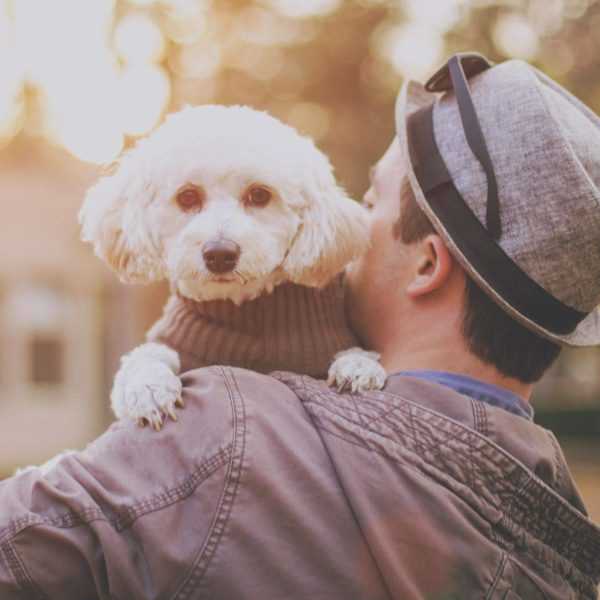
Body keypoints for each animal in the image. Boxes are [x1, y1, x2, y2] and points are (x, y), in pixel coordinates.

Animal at [78, 105, 384, 428]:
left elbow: (354, 354)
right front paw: (148, 388)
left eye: (260, 194)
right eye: (187, 196)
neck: (243, 309)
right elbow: (144, 357)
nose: (219, 254)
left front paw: (358, 366)